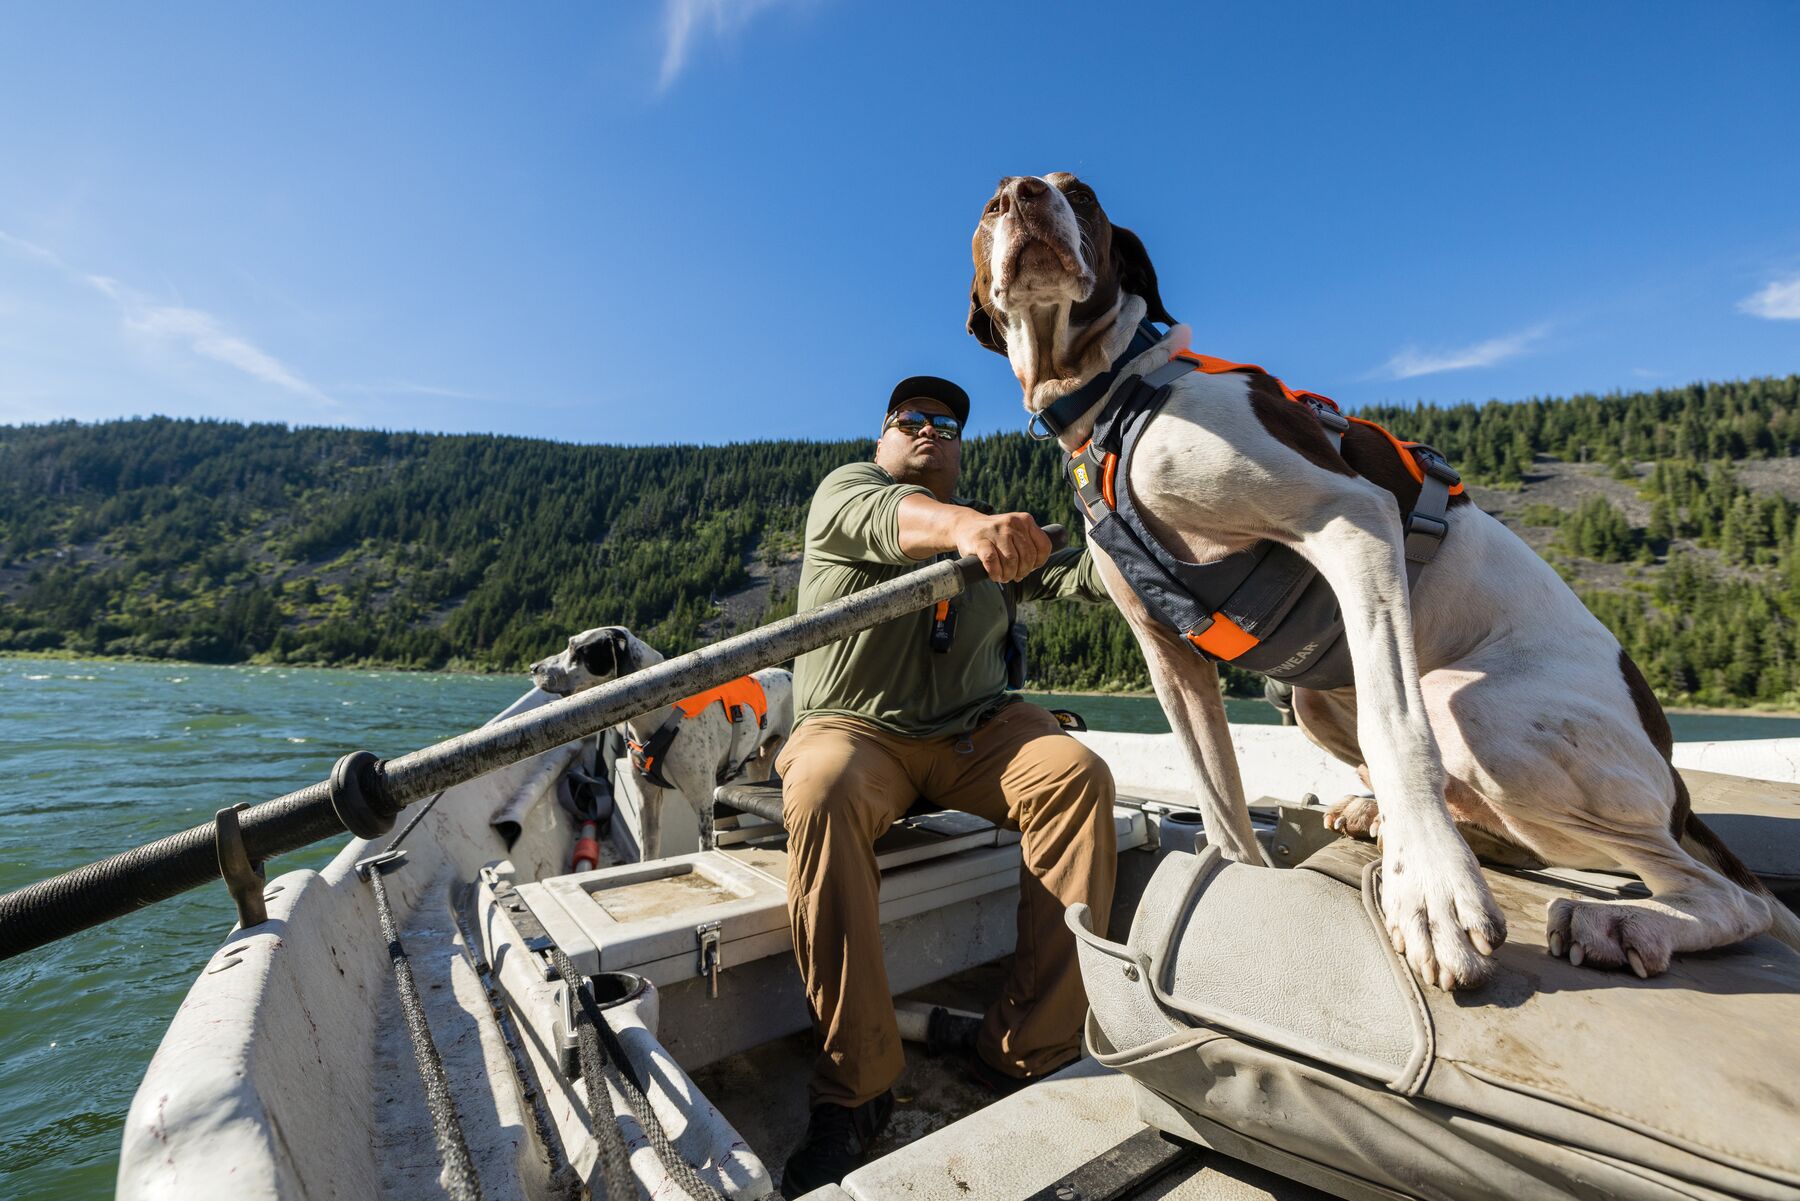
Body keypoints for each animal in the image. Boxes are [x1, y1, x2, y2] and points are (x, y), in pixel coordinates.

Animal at [525, 630, 795, 864]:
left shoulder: (703, 802)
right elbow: (648, 851)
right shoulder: (646, 799)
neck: (659, 713)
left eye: (576, 649)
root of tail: (788, 673)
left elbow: (705, 845)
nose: (533, 668)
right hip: (759, 766)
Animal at [964, 171, 1792, 993]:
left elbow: (1395, 730)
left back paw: (1623, 920)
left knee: (1731, 895)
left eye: (1081, 194)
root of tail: (1675, 777)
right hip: (1320, 700)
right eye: (992, 206)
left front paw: (1432, 893)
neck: (1116, 391)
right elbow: (1218, 792)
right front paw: (1239, 870)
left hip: (1479, 706)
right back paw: (1389, 819)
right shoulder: (1168, 652)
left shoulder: (1352, 520)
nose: (1028, 194)